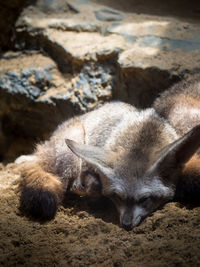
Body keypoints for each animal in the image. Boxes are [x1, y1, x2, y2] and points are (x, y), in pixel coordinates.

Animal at [18, 75, 200, 230]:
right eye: (117, 197)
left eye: (145, 199)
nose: (126, 225)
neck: (144, 136)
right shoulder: (92, 161)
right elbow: (92, 185)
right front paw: (86, 188)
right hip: (72, 150)